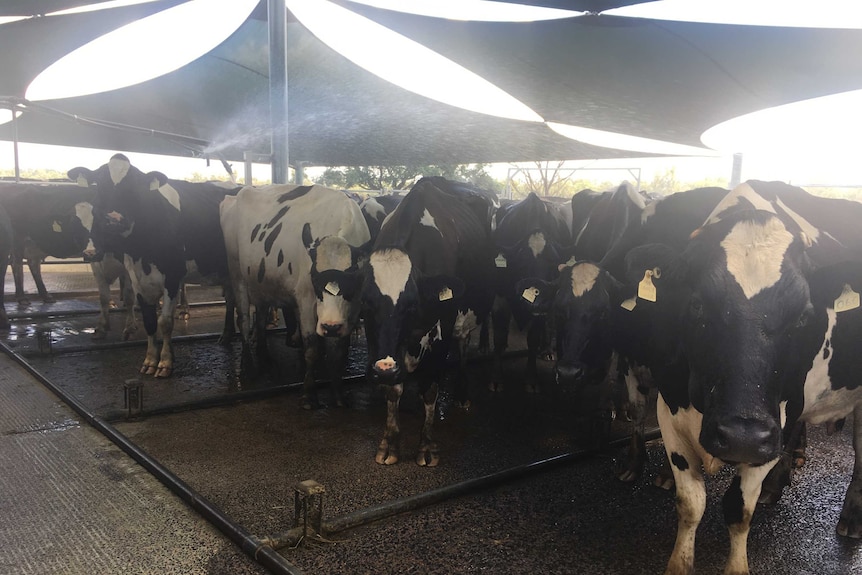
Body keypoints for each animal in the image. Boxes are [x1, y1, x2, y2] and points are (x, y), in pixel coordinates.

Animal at [68, 154, 241, 378]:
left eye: (135, 187)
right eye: (100, 184)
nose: (115, 220)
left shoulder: (173, 276)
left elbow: (165, 322)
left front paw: (165, 362)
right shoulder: (137, 279)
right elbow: (149, 322)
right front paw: (150, 360)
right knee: (230, 299)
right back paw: (226, 335)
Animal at [219, 184, 372, 410]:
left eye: (352, 280)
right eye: (314, 279)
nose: (330, 327)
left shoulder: (352, 310)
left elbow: (338, 351)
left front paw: (338, 393)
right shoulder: (306, 300)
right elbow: (311, 347)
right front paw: (308, 394)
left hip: (261, 283)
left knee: (261, 315)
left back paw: (264, 356)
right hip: (237, 273)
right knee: (244, 318)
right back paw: (248, 367)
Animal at [362, 177, 496, 468]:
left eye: (412, 304)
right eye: (367, 304)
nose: (383, 369)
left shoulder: (442, 331)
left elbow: (431, 390)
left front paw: (426, 446)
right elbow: (393, 390)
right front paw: (389, 443)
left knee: (465, 343)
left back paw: (463, 393)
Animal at [492, 191, 572, 394]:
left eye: (553, 264)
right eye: (522, 263)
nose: (540, 301)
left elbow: (533, 339)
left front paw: (531, 378)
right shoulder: (499, 295)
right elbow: (498, 336)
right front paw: (496, 378)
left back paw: (547, 350)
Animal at [620, 180, 862, 575]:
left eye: (804, 315)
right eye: (697, 304)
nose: (740, 436)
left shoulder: (768, 431)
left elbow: (737, 510)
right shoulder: (669, 410)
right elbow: (691, 503)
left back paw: (852, 517)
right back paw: (775, 487)